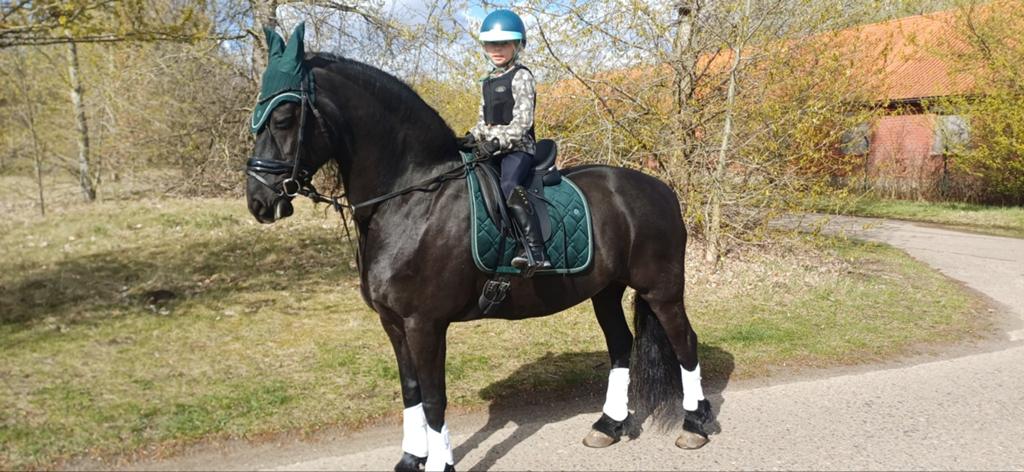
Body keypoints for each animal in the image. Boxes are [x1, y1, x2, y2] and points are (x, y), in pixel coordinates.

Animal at [245, 52, 712, 472]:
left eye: (283, 120)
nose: (259, 201)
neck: (414, 198)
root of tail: (661, 189)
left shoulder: (425, 324)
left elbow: (434, 399)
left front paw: (439, 464)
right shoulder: (393, 323)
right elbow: (411, 391)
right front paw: (411, 459)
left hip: (662, 290)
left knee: (685, 343)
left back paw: (695, 425)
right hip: (606, 292)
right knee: (620, 346)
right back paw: (608, 425)